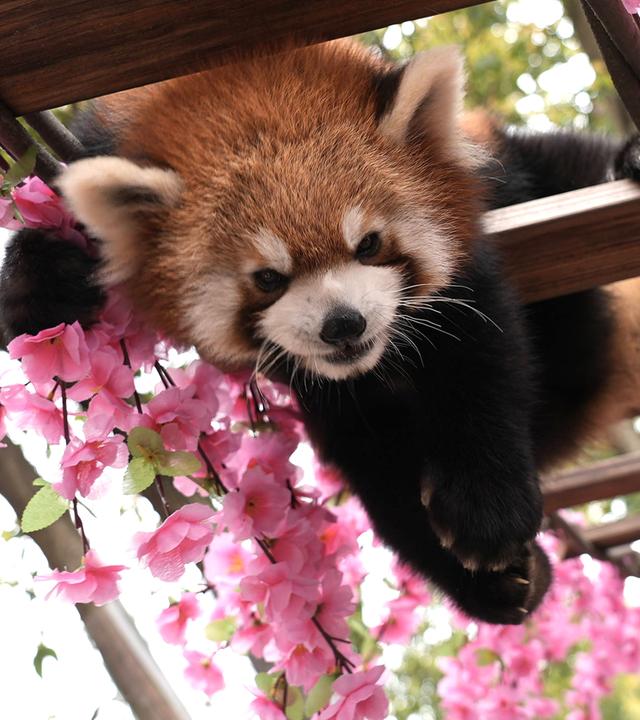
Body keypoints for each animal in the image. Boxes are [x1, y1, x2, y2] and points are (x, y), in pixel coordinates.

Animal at [2, 39, 640, 624]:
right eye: (267, 278)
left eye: (370, 244)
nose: (344, 324)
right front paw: (44, 283)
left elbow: (477, 353)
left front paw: (487, 509)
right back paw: (494, 588)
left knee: (566, 163)